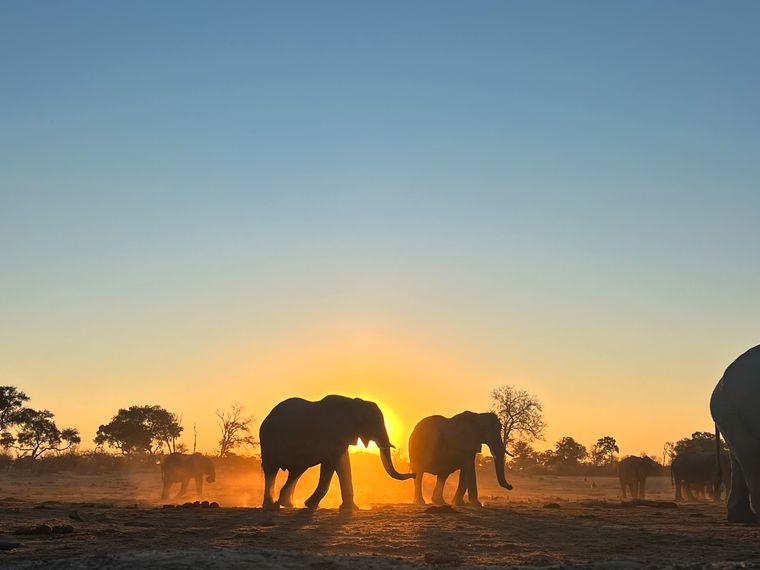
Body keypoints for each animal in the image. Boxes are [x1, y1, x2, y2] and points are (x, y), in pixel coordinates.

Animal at [259, 395, 415, 511]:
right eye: (372, 424)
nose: (414, 474)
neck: (354, 404)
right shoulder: (333, 435)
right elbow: (336, 463)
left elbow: (335, 464)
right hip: (268, 440)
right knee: (271, 470)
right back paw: (271, 506)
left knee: (296, 471)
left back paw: (287, 504)